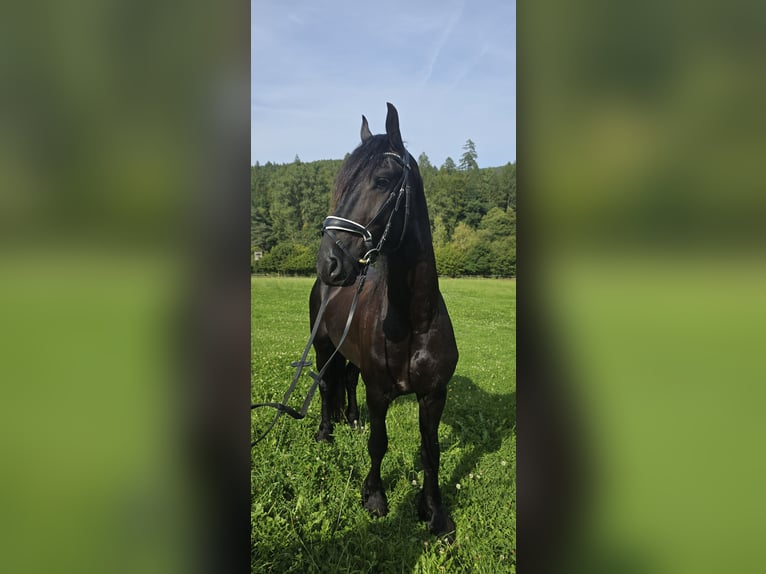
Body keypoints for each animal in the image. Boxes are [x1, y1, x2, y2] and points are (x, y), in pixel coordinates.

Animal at [310, 103, 459, 541]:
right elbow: (379, 444)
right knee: (325, 386)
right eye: (342, 184)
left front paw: (434, 512)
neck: (414, 321)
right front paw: (374, 497)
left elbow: (431, 452)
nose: (328, 262)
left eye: (382, 180)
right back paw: (325, 432)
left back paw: (351, 420)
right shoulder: (379, 393)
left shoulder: (434, 395)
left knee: (346, 380)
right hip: (323, 346)